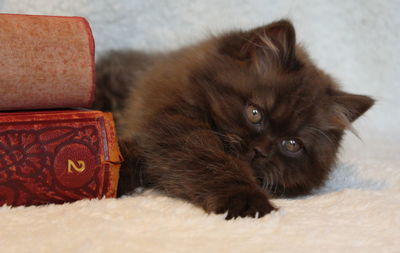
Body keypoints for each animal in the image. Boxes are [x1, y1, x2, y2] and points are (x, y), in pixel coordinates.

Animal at [94, 20, 376, 219]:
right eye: (254, 113)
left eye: (291, 144)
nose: (260, 151)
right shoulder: (173, 128)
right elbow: (212, 162)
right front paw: (248, 202)